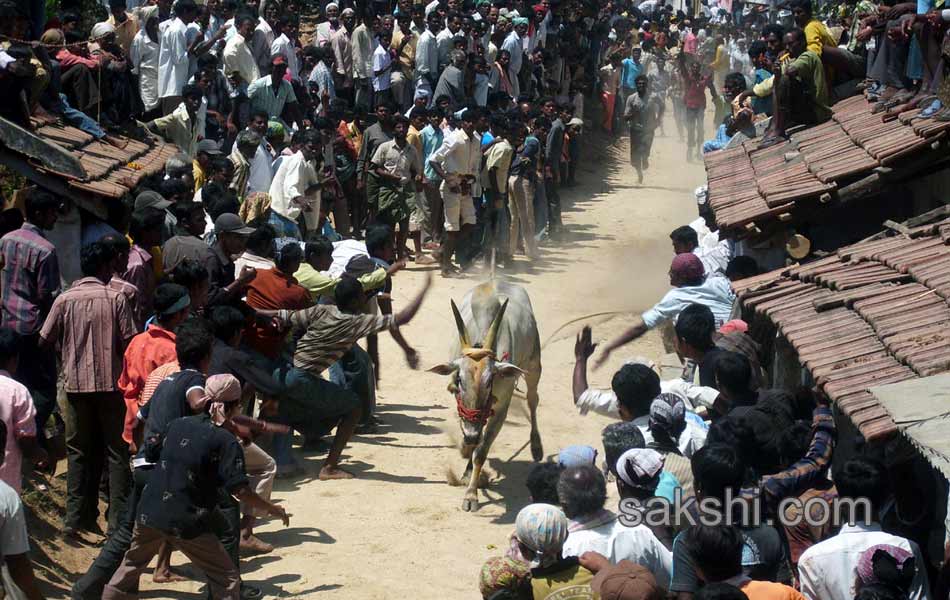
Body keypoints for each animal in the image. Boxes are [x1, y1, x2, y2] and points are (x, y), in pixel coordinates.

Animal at [430, 282, 544, 510]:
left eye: (490, 380)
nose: (470, 435)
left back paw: (536, 446)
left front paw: (471, 495)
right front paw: (466, 460)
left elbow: (481, 451)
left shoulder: (501, 408)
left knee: (532, 400)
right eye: (459, 380)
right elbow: (474, 442)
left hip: (534, 366)